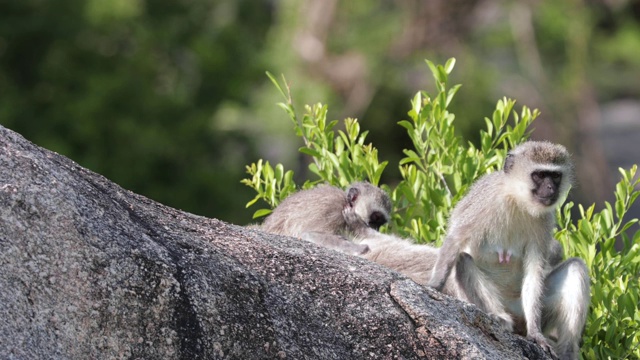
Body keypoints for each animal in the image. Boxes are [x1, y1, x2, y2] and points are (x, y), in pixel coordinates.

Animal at [258, 183, 390, 256]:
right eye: (375, 218)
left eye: (379, 223)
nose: (375, 229)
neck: (345, 203)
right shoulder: (332, 211)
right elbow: (308, 234)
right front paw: (358, 248)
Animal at [430, 141, 592, 360]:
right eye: (539, 175)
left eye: (555, 176)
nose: (551, 188)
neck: (516, 199)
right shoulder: (484, 201)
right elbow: (455, 240)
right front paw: (434, 286)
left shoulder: (544, 220)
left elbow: (534, 270)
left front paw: (536, 333)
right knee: (463, 260)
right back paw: (501, 319)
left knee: (576, 267)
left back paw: (565, 350)